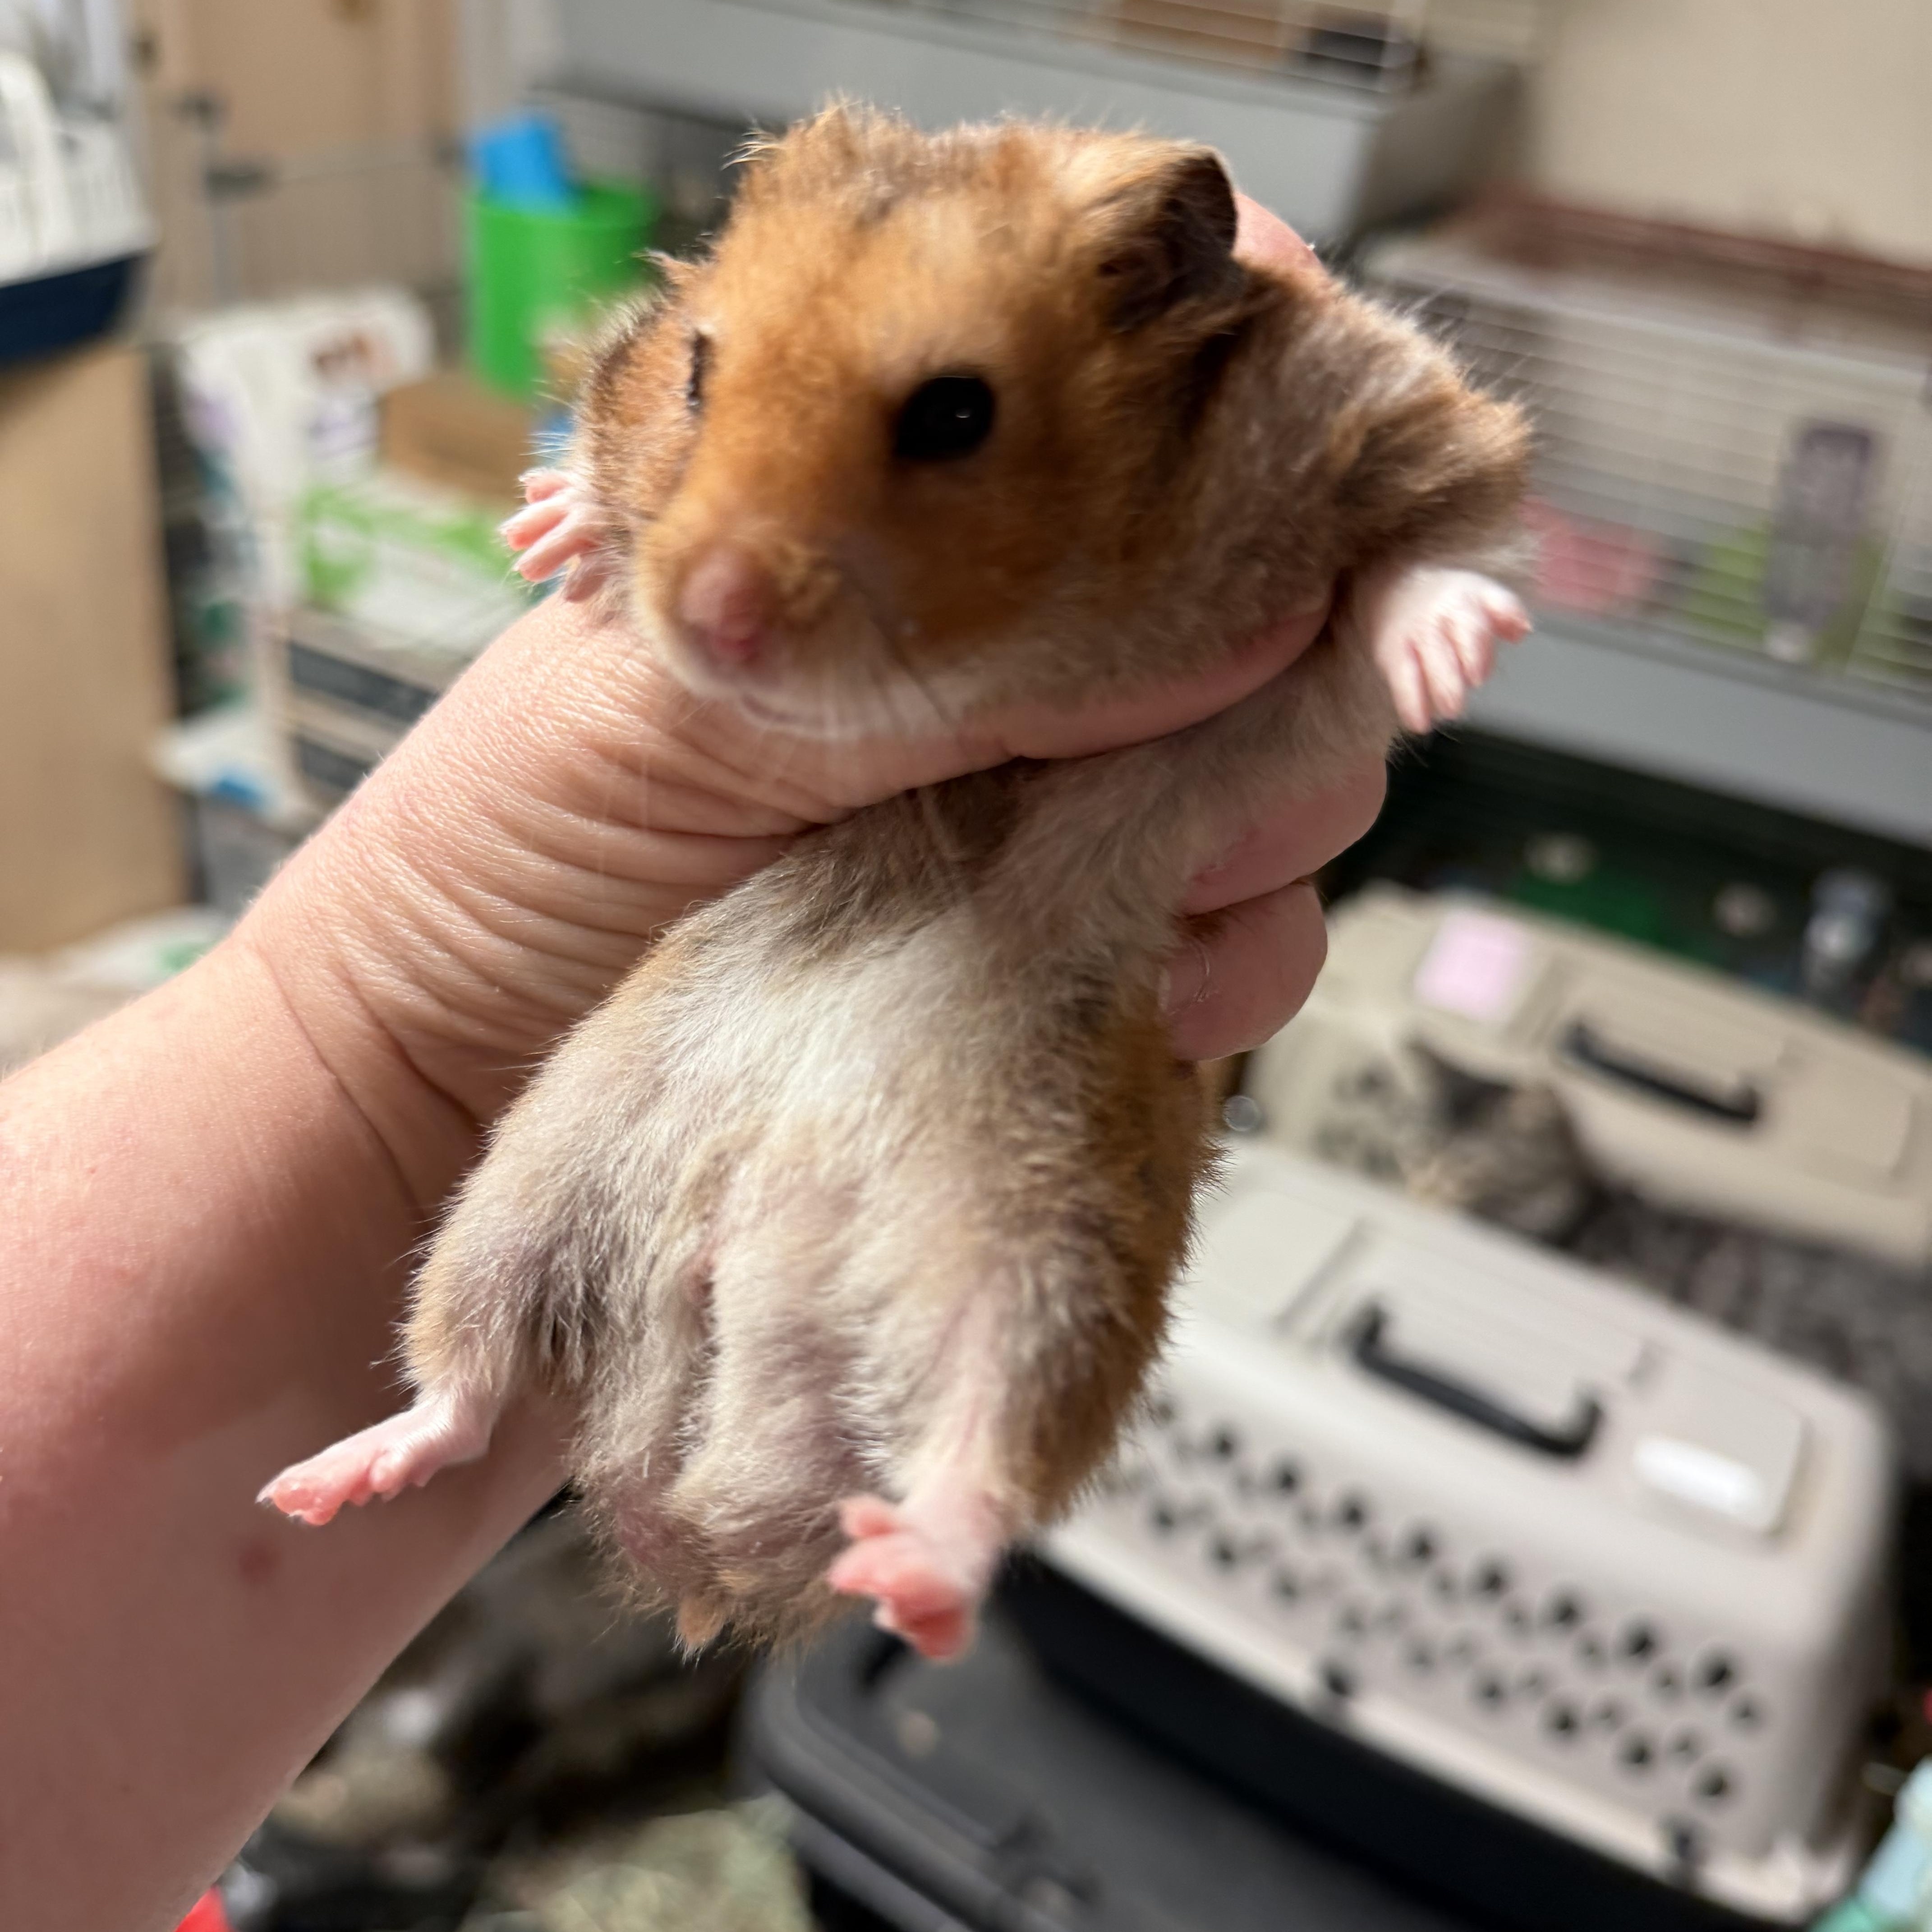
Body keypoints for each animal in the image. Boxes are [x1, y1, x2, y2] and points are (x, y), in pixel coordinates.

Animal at [262, 107, 1530, 1661]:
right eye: (701, 369)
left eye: (954, 415)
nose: (711, 621)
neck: (1045, 622)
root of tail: (696, 1506)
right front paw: (548, 530)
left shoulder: (1378, 409)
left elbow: (1428, 541)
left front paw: (1454, 653)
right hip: (522, 1185)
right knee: (462, 1383)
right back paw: (321, 1485)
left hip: (1047, 1253)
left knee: (981, 1454)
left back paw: (911, 1579)